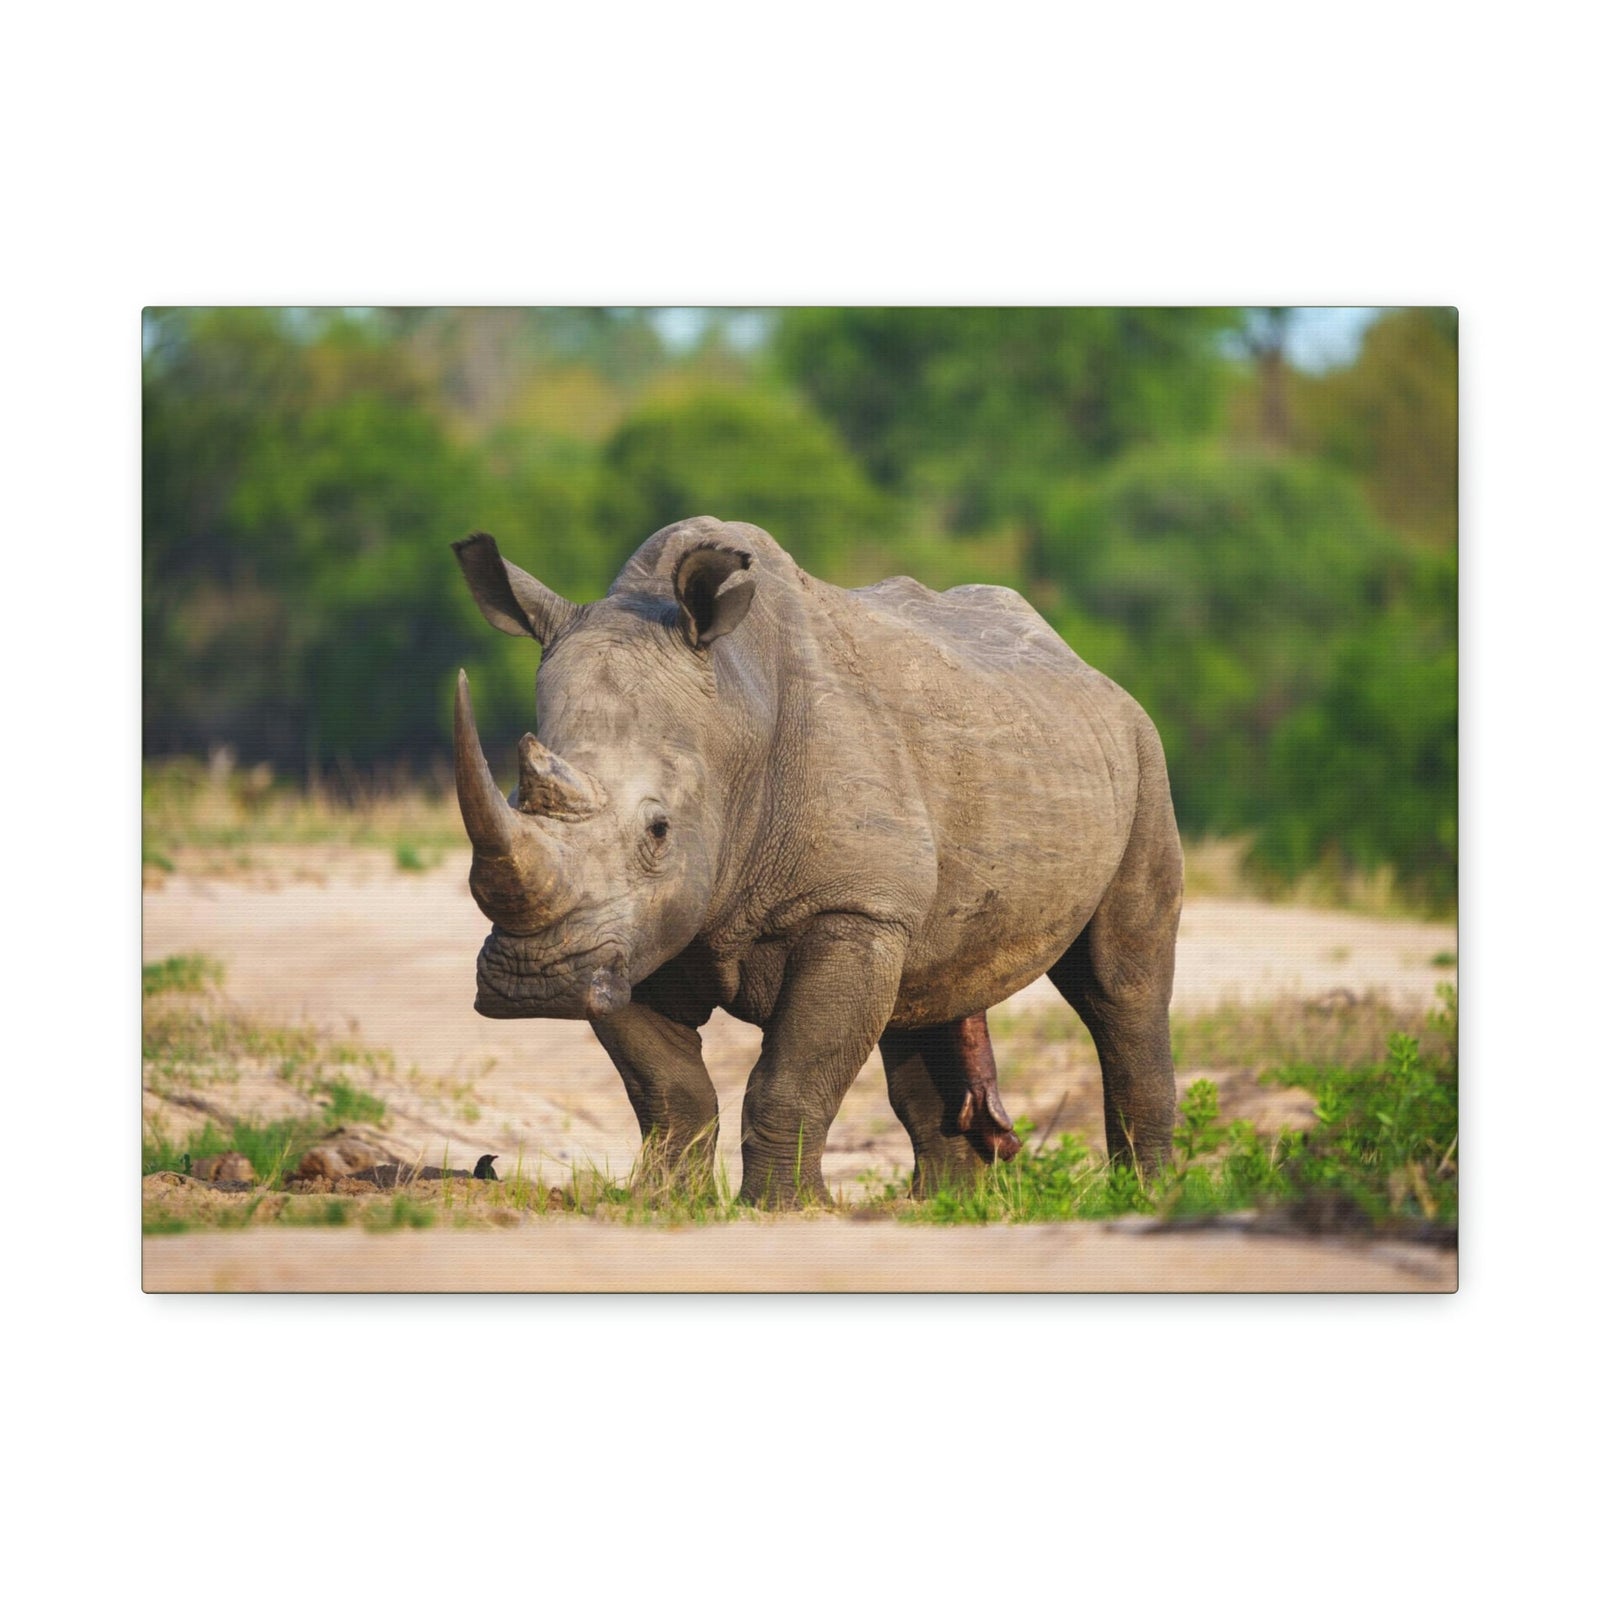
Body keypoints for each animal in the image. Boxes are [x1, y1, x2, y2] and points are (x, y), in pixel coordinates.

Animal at [451, 516, 1181, 1205]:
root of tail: (1084, 666)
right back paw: (943, 1204)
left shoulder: (851, 906)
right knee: (926, 991)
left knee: (1121, 985)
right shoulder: (620, 937)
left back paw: (1143, 1193)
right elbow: (670, 1091)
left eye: (659, 831)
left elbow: (793, 1075)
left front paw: (783, 1209)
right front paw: (663, 1204)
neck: (734, 719)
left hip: (1141, 750)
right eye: (515, 801)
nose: (533, 980)